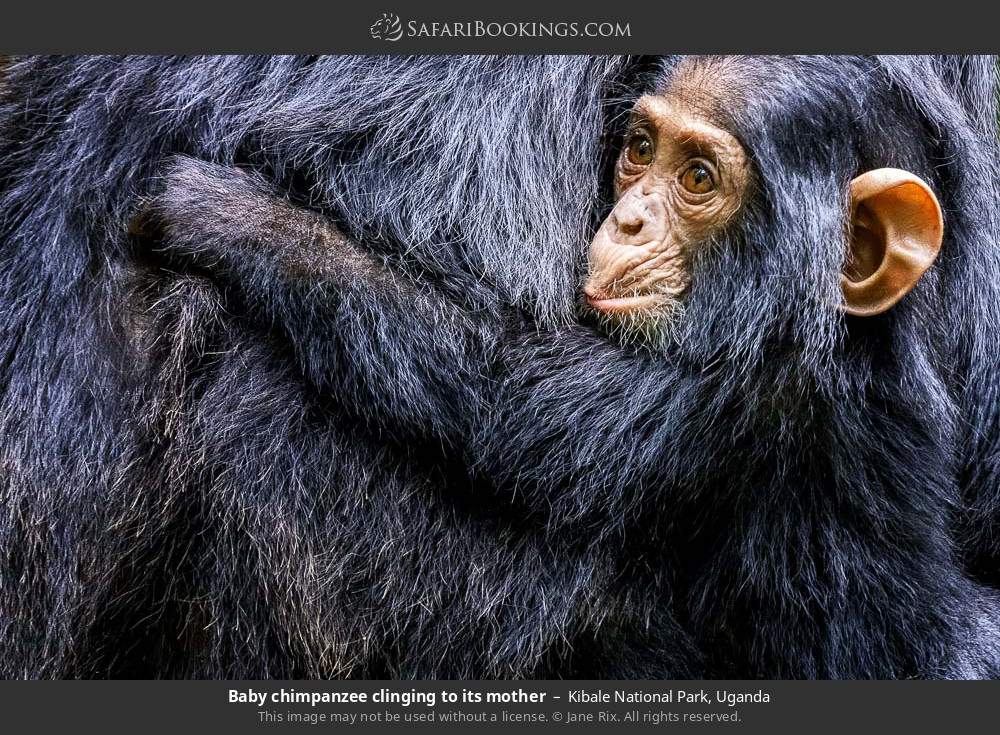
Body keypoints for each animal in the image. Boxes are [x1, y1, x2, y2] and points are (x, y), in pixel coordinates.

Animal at [1, 56, 1000, 680]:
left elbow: (511, 404)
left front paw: (229, 218)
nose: (627, 218)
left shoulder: (732, 403)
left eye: (699, 179)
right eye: (640, 149)